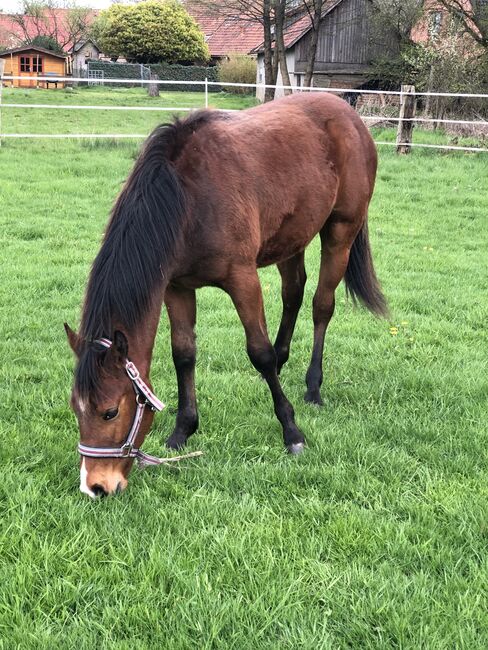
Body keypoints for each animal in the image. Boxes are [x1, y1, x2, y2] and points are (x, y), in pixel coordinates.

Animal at [65, 92, 386, 496]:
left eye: (110, 411)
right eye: (76, 408)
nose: (95, 486)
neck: (187, 197)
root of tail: (349, 113)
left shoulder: (242, 279)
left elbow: (258, 352)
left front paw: (291, 431)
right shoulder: (177, 287)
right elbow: (184, 354)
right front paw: (182, 430)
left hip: (340, 232)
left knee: (320, 306)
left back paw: (313, 387)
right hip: (291, 238)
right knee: (293, 293)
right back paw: (283, 364)